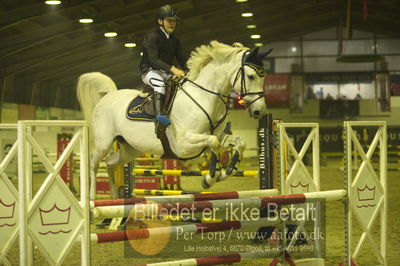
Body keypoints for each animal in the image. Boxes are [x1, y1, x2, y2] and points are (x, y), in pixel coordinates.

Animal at [76, 41, 270, 200]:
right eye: (251, 76)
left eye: (264, 76)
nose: (259, 111)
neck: (204, 97)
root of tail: (108, 96)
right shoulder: (184, 145)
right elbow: (213, 142)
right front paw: (210, 178)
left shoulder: (216, 138)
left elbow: (238, 142)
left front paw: (227, 171)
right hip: (103, 143)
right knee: (94, 164)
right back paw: (92, 199)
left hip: (131, 149)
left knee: (110, 163)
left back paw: (115, 197)